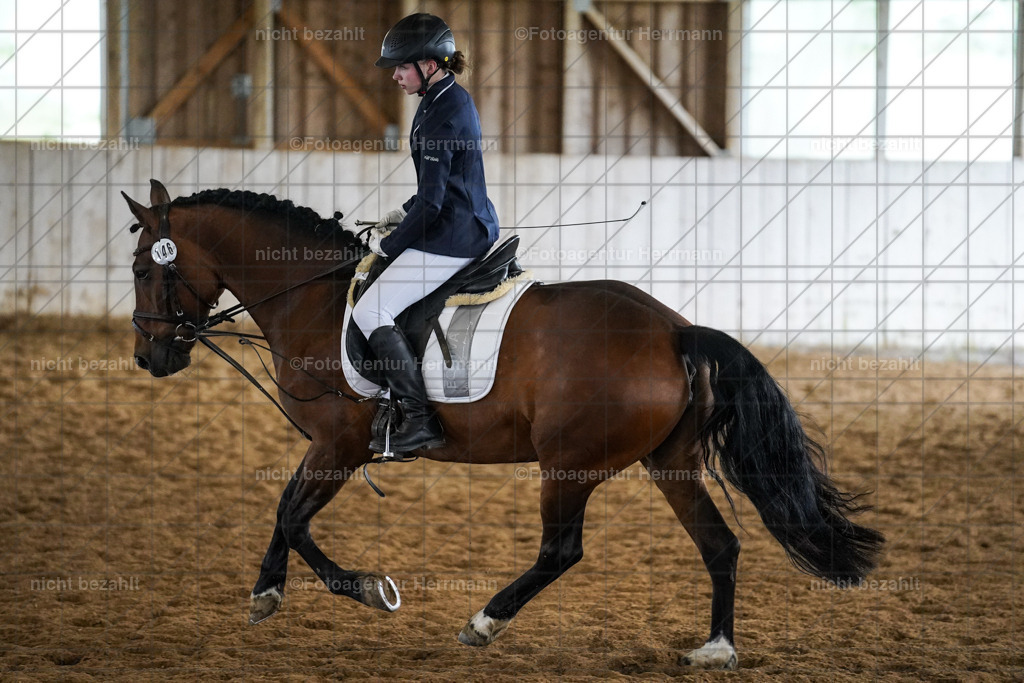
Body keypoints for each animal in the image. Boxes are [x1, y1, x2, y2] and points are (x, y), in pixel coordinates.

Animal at [125, 179, 884, 670]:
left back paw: (483, 622)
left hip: (569, 464)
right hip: (669, 461)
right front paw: (277, 591)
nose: (150, 356)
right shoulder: (333, 448)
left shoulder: (338, 444)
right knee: (719, 544)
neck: (313, 296)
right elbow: (287, 511)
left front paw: (354, 591)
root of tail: (674, 329)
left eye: (142, 269)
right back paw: (717, 648)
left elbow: (290, 514)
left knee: (561, 551)